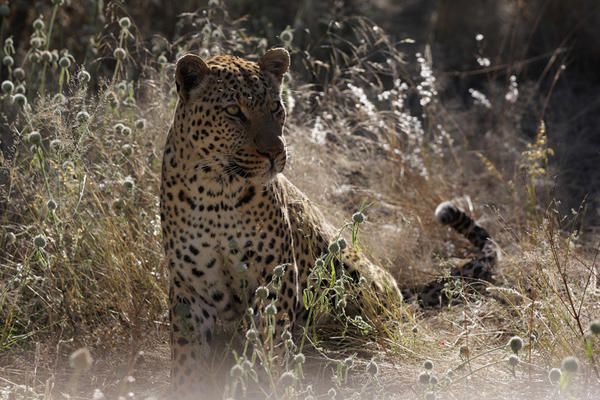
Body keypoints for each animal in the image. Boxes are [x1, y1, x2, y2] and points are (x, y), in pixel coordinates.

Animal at [159, 47, 496, 396]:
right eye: (234, 112)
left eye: (276, 107)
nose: (275, 153)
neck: (216, 192)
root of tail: (401, 295)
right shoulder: (189, 288)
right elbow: (186, 356)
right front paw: (187, 386)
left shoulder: (276, 279)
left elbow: (269, 346)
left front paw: (266, 385)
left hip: (350, 272)